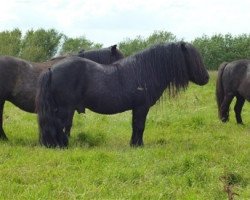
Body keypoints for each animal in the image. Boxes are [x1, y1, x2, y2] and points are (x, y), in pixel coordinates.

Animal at [36, 41, 210, 148]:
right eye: (192, 58)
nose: (207, 78)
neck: (144, 70)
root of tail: (51, 69)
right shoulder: (141, 107)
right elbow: (140, 126)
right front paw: (138, 145)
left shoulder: (137, 108)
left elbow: (135, 126)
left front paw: (134, 144)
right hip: (64, 108)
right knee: (59, 125)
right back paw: (62, 145)